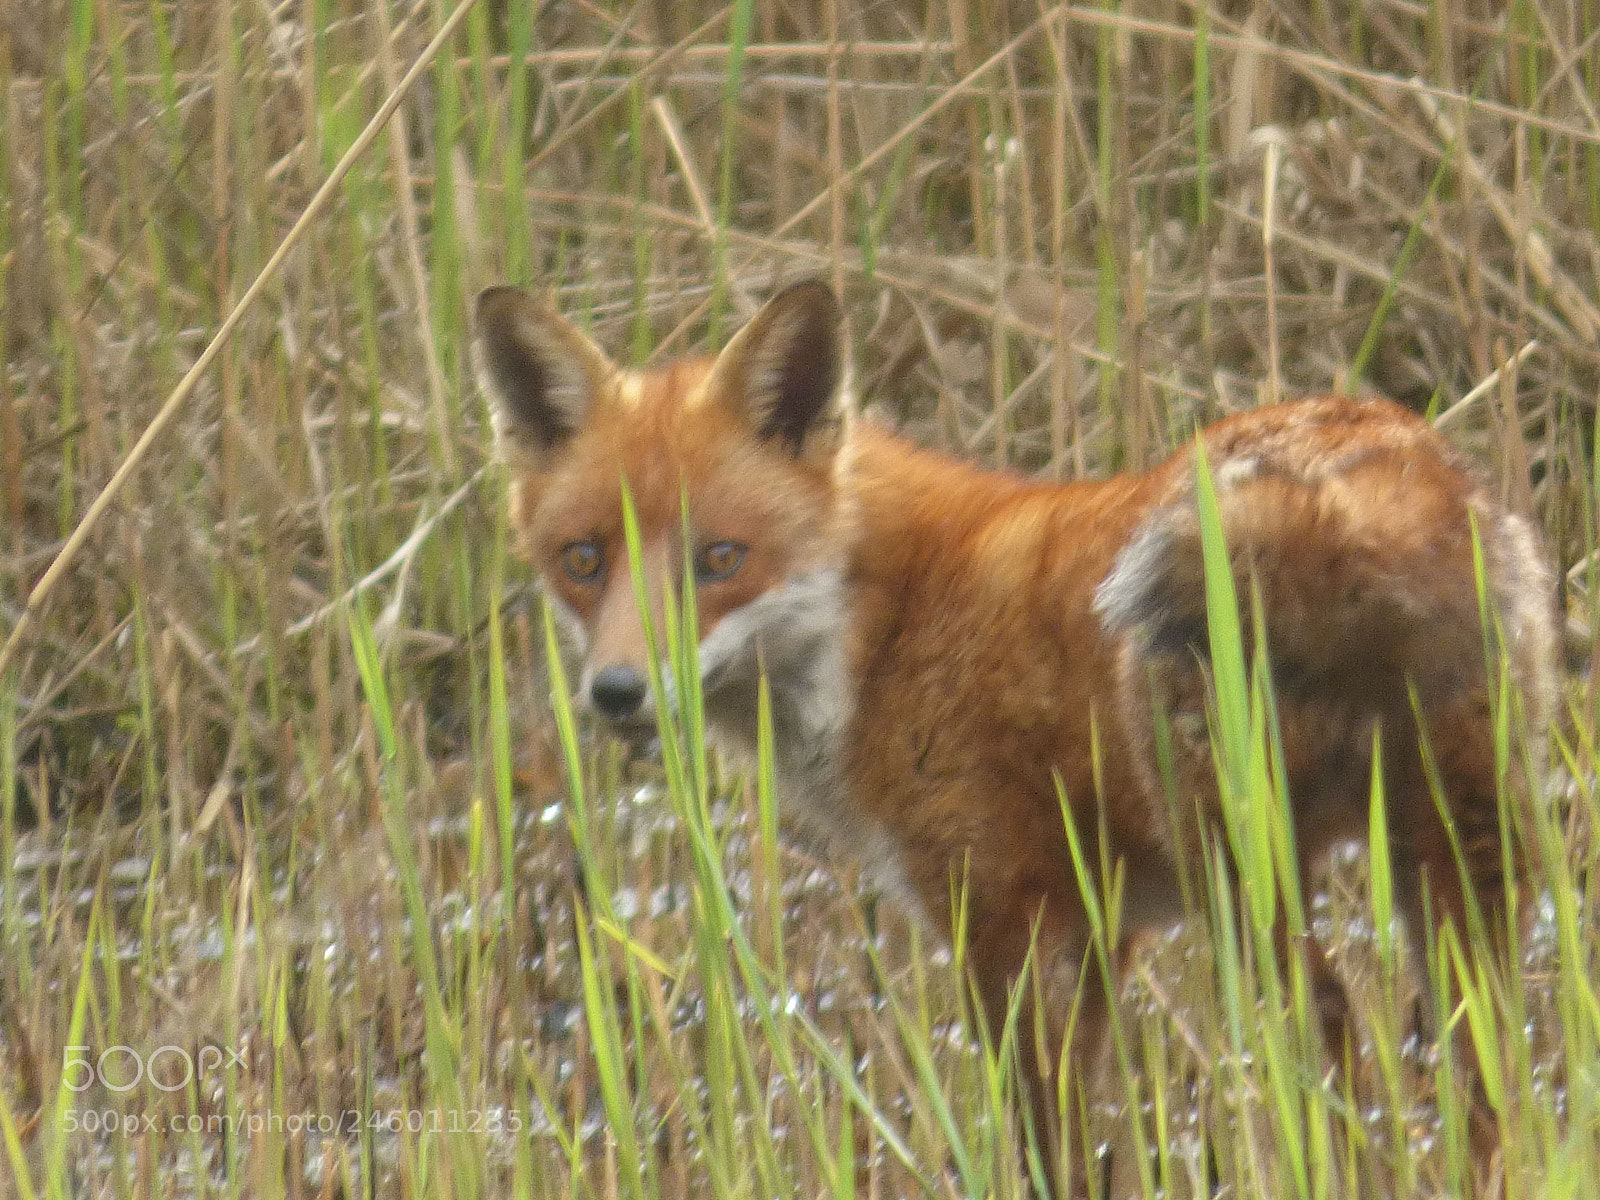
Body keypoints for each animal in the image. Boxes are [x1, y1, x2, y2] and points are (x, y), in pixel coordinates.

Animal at [473, 277, 1558, 1195]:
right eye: (582, 560)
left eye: (720, 560)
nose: (617, 694)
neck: (885, 626)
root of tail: (1376, 478)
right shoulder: (1104, 928)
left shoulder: (997, 916)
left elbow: (1037, 1139)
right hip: (1460, 865)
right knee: (1490, 1068)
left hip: (1240, 872)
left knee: (1333, 1021)